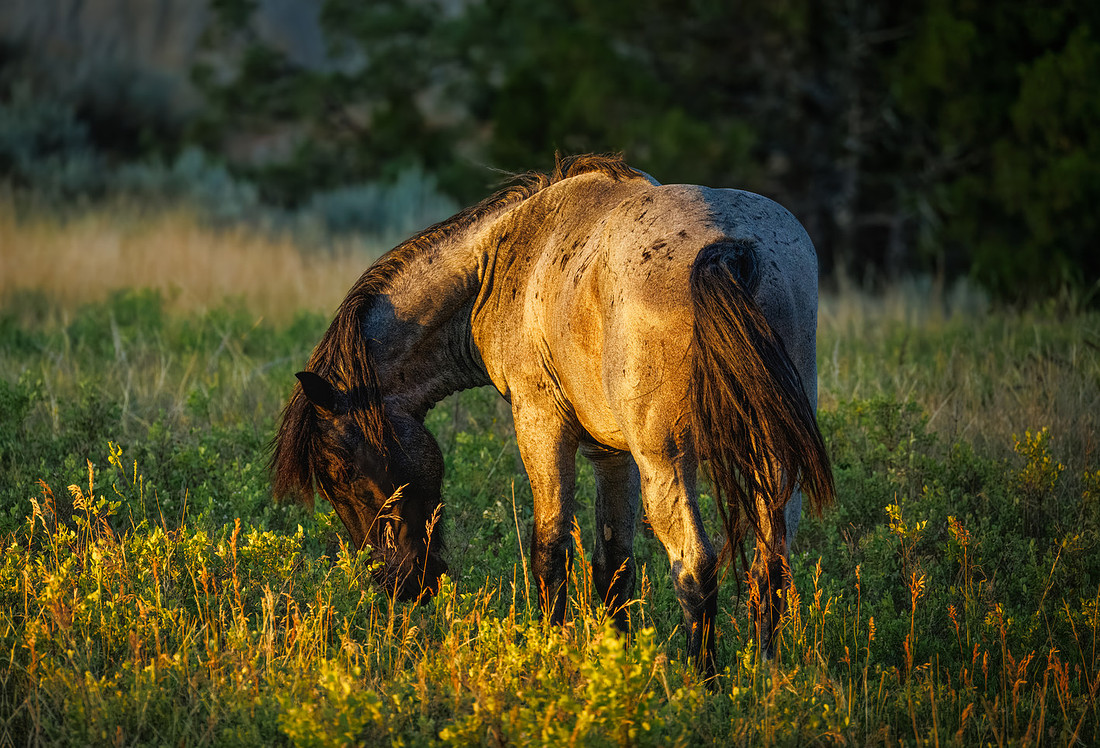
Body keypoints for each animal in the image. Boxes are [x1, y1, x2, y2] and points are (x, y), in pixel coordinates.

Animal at [271, 154, 834, 676]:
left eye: (341, 472)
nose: (401, 585)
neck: (499, 262)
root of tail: (730, 247)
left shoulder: (540, 422)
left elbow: (550, 550)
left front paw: (552, 653)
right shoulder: (612, 454)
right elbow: (613, 563)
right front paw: (615, 662)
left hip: (668, 461)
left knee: (695, 568)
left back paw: (706, 687)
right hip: (771, 456)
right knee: (771, 564)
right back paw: (764, 675)